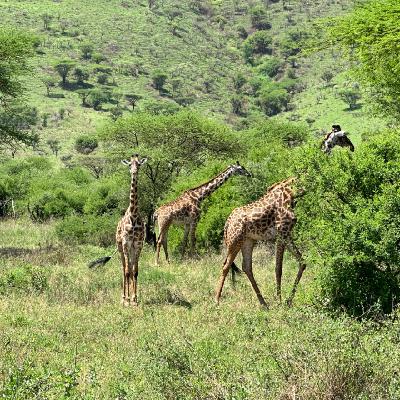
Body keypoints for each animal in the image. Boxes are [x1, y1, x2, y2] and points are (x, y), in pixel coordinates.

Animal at [216, 177, 306, 306]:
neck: (291, 193)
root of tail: (227, 223)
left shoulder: (286, 234)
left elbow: (302, 262)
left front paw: (289, 300)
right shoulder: (281, 232)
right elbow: (278, 268)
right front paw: (279, 301)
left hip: (247, 241)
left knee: (246, 267)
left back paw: (263, 303)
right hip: (235, 240)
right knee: (226, 266)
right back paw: (216, 300)